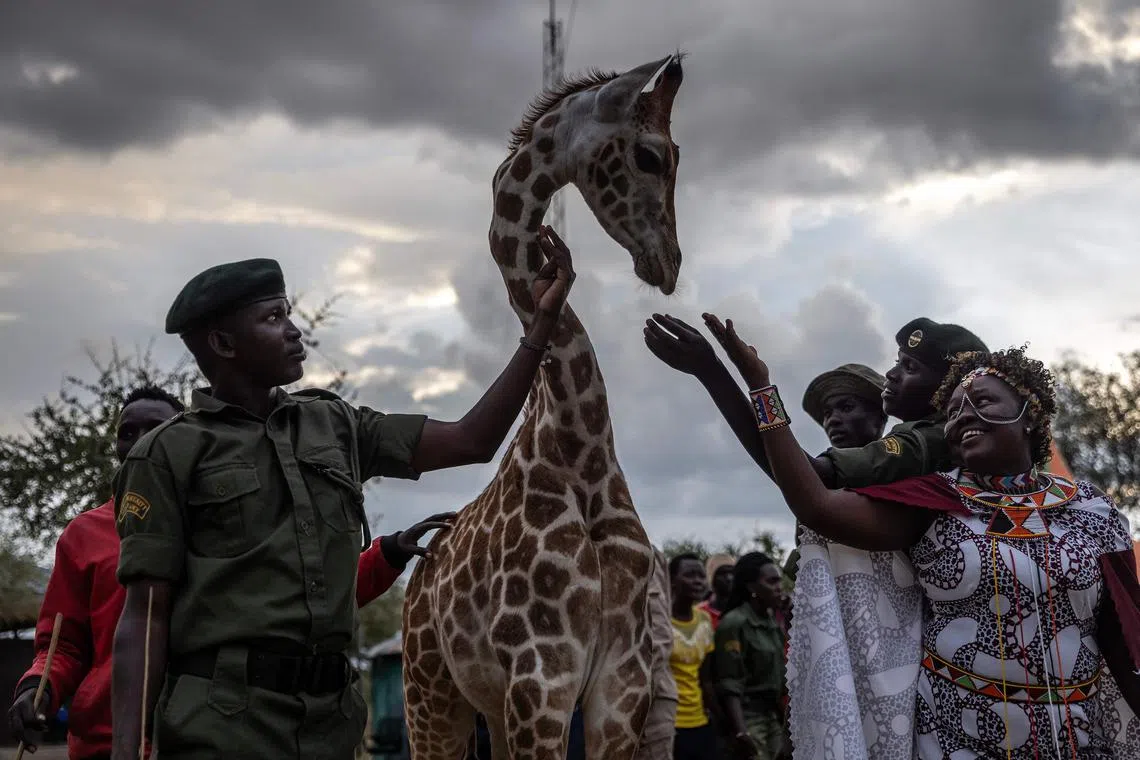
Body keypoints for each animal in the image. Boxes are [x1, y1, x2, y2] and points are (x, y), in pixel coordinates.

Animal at [401, 54, 685, 760]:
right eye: (649, 156)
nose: (668, 263)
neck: (580, 449)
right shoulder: (541, 672)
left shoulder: (623, 678)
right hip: (430, 695)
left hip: (491, 707)